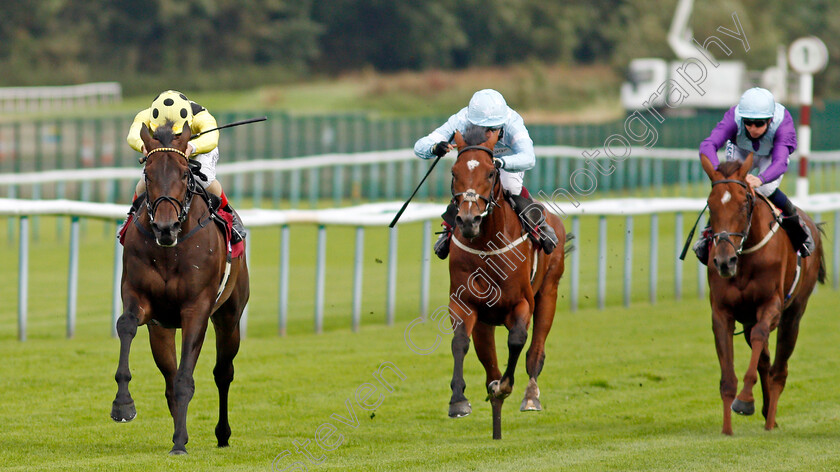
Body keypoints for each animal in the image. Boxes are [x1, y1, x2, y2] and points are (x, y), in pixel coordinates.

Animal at [108, 121, 248, 454]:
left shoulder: (196, 309)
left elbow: (188, 377)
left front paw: (181, 445)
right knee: (170, 380)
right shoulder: (140, 300)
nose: (165, 227)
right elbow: (126, 325)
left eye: (185, 173)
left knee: (223, 373)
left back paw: (222, 434)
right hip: (162, 329)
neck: (169, 250)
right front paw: (123, 405)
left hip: (230, 316)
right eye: (147, 174)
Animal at [446, 125, 564, 438]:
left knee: (536, 350)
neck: (487, 243)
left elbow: (517, 339)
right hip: (485, 323)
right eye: (454, 171)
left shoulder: (522, 302)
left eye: (490, 172)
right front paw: (458, 400)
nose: (468, 220)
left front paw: (505, 388)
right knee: (490, 364)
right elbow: (459, 342)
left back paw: (530, 396)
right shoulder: (464, 302)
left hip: (549, 292)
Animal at [700, 154, 824, 436]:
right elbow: (728, 377)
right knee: (765, 361)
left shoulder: (771, 306)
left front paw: (745, 400)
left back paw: (770, 421)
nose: (724, 262)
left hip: (794, 315)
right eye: (710, 205)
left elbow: (760, 338)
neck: (745, 257)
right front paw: (727, 429)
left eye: (744, 203)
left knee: (779, 369)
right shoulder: (722, 312)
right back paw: (768, 413)